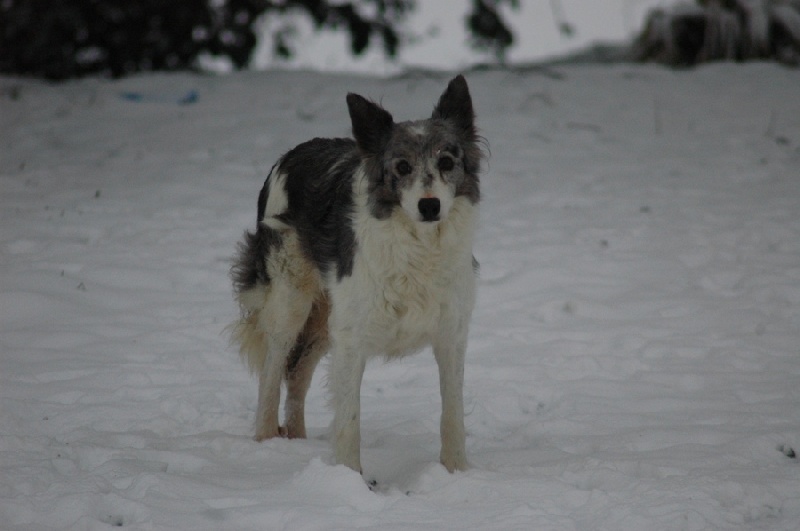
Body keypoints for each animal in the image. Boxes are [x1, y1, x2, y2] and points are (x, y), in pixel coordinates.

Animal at [231, 75, 482, 474]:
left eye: (446, 162)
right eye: (402, 167)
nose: (430, 206)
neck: (418, 247)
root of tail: (291, 154)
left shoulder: (451, 333)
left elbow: (452, 414)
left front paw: (456, 473)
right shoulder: (351, 337)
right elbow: (349, 420)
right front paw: (350, 479)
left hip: (323, 319)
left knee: (297, 372)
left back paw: (296, 438)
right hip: (292, 301)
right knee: (273, 369)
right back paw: (267, 441)